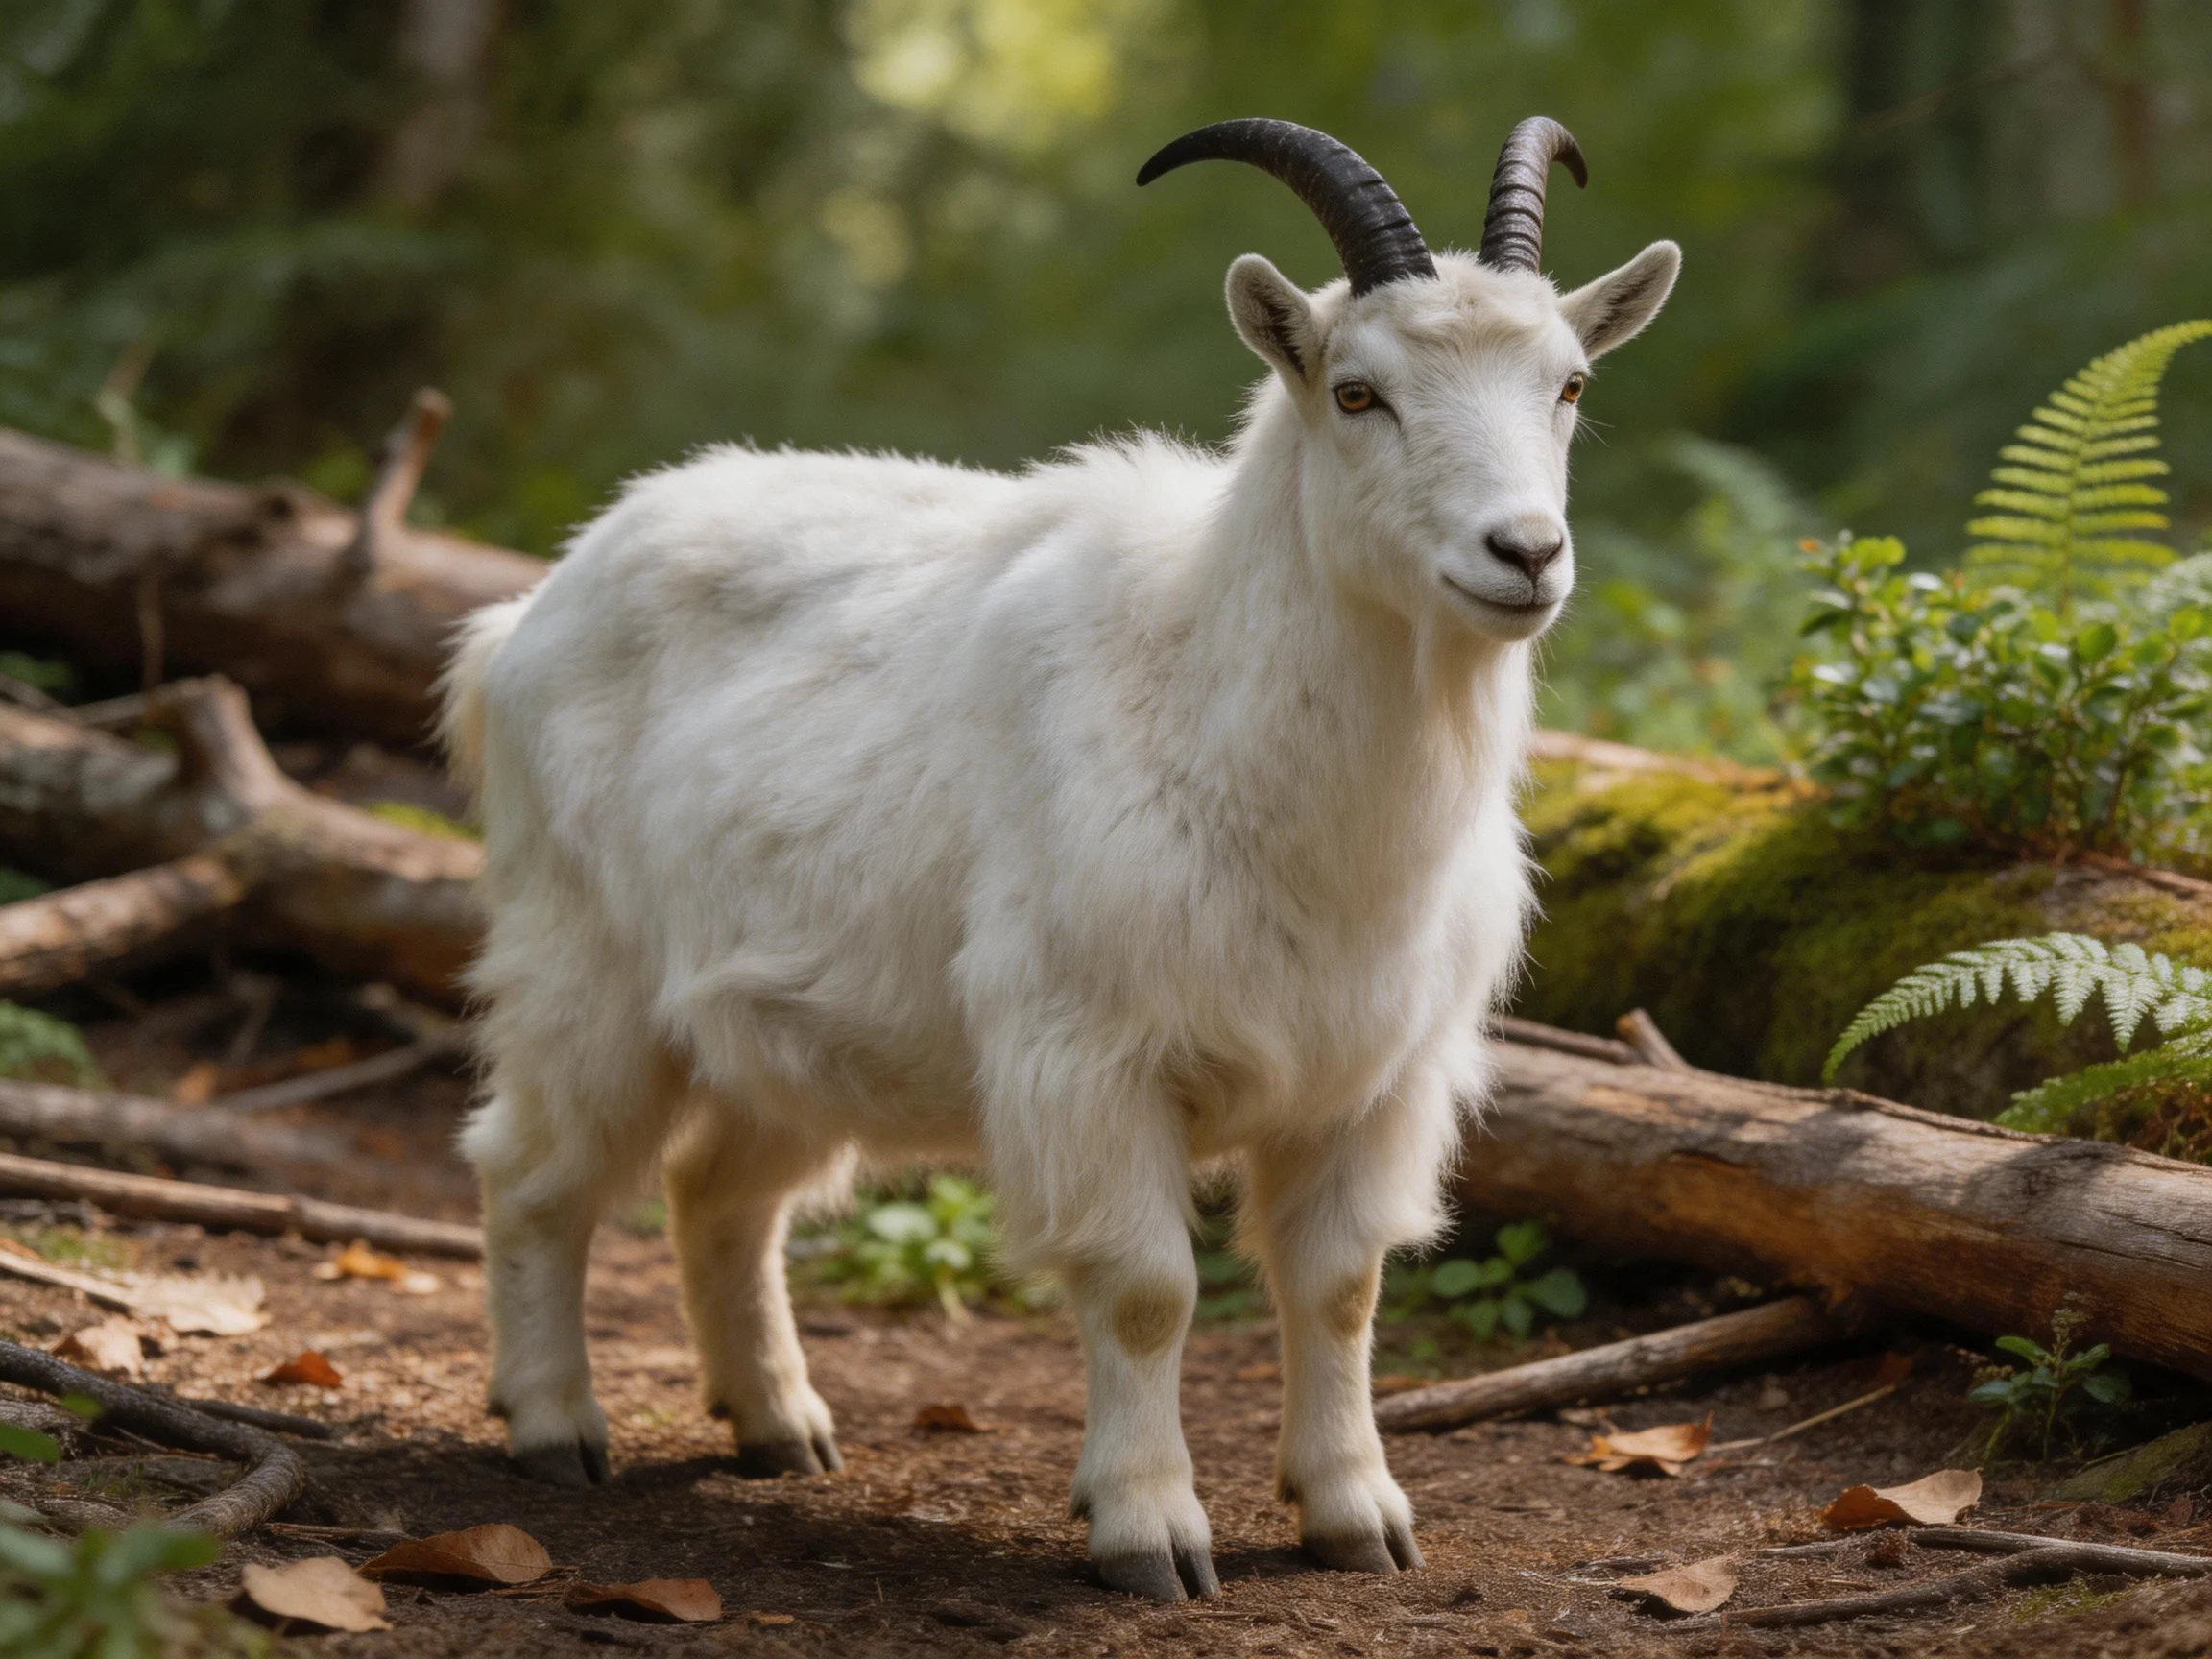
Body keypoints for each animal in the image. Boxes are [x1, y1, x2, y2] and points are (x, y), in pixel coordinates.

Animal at [442, 116, 1678, 1602]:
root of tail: (521, 616)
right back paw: (555, 1427)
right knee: (535, 1172)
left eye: (1570, 384)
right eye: (1358, 393)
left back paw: (779, 1426)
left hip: (785, 1023)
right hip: (581, 965)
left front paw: (1356, 1518)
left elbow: (1339, 1286)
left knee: (720, 1194)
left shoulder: (1374, 1077)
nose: (1525, 554)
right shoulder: (1092, 1053)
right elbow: (1147, 1290)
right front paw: (1151, 1534)